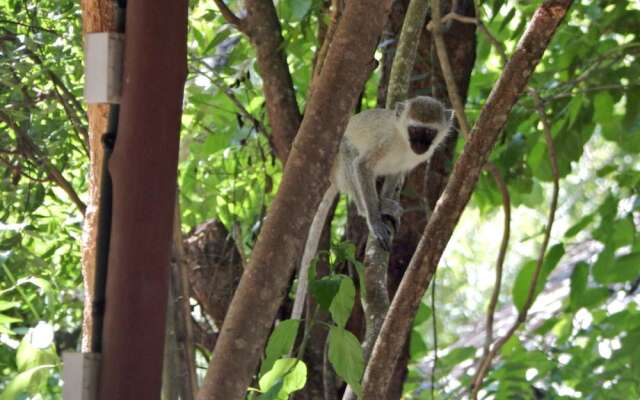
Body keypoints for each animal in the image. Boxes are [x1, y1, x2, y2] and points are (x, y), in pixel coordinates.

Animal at [292, 95, 456, 320]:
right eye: (414, 130)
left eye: (429, 132)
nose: (420, 145)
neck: (403, 141)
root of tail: (333, 178)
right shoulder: (384, 142)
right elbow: (362, 166)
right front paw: (376, 221)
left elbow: (396, 172)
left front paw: (386, 201)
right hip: (339, 164)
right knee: (351, 156)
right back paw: (370, 208)